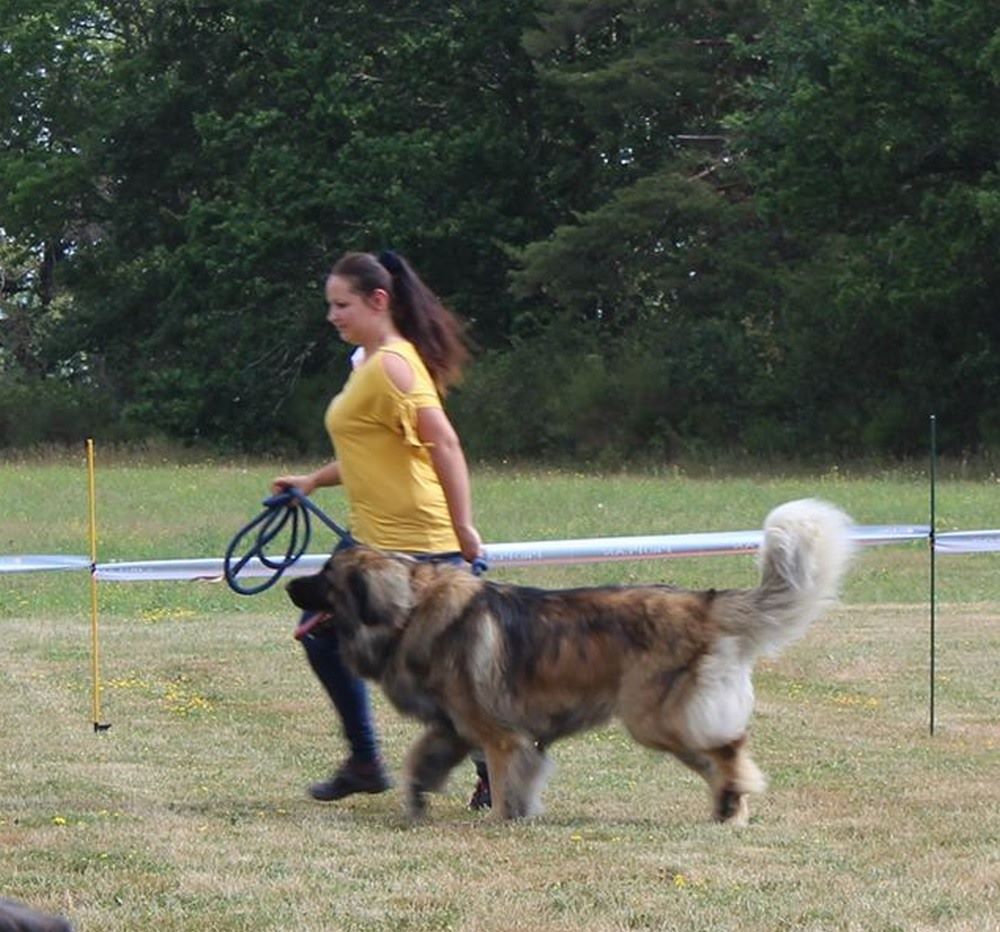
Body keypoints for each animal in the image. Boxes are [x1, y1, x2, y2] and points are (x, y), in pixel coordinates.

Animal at [288, 498, 852, 820]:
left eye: (325, 579)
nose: (291, 583)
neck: (409, 612)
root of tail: (704, 602)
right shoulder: (455, 726)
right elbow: (422, 759)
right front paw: (417, 801)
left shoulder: (499, 734)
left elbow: (505, 779)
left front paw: (504, 820)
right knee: (719, 758)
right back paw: (729, 807)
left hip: (656, 716)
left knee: (729, 747)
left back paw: (733, 798)